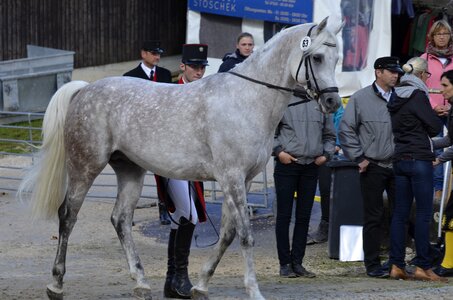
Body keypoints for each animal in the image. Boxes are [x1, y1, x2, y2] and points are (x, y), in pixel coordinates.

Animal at [19, 17, 340, 300]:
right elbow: (245, 235)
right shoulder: (232, 177)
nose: (333, 101)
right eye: (317, 57)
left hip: (130, 171)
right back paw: (56, 285)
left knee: (120, 219)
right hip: (85, 167)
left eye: (337, 58)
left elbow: (227, 234)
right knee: (68, 216)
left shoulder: (243, 180)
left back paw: (141, 283)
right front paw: (253, 290)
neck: (247, 99)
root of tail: (84, 89)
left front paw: (200, 285)